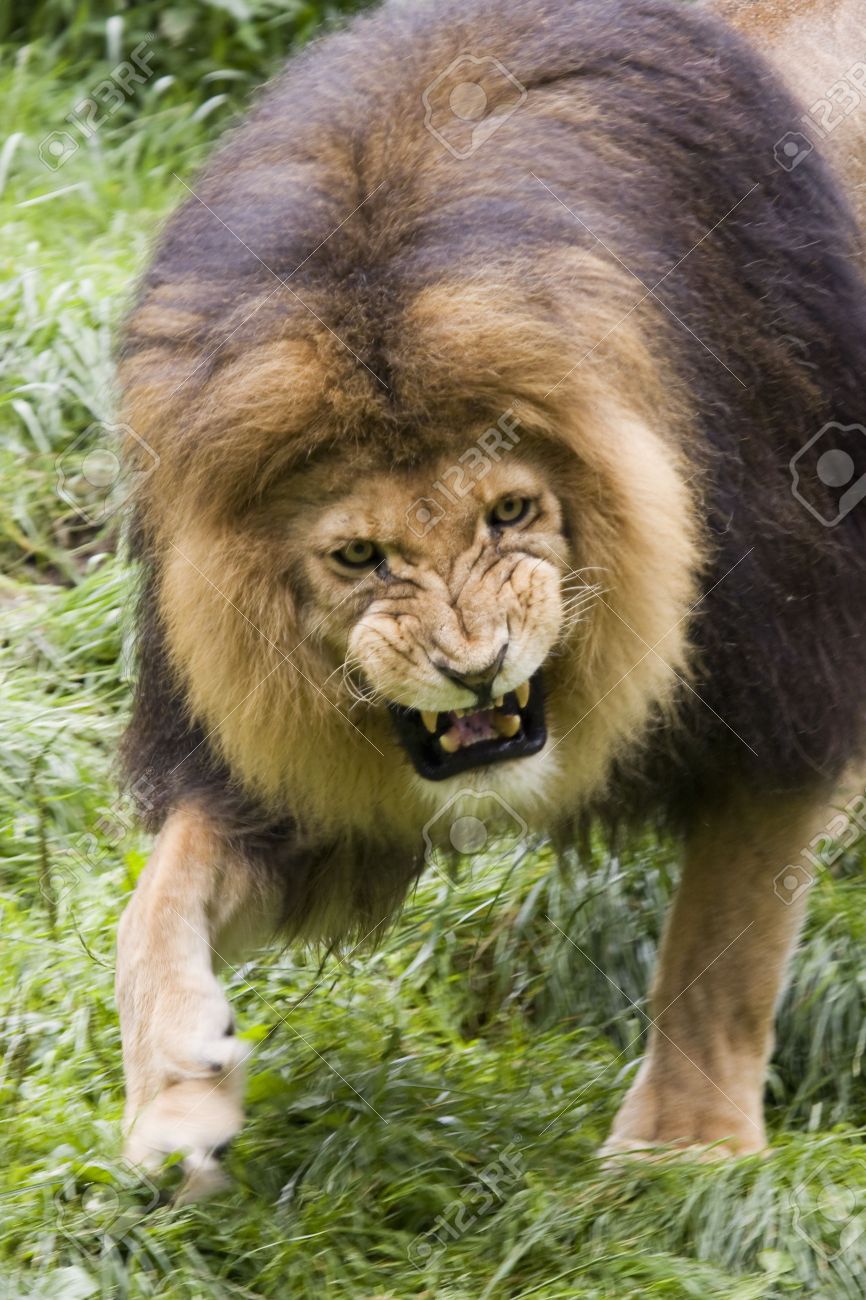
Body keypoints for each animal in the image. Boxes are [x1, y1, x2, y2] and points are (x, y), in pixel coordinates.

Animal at [115, 0, 866, 1196]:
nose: (473, 668)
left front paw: (683, 1152)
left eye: (510, 511)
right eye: (360, 555)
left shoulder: (788, 663)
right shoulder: (278, 762)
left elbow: (724, 936)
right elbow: (159, 896)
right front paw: (176, 1094)